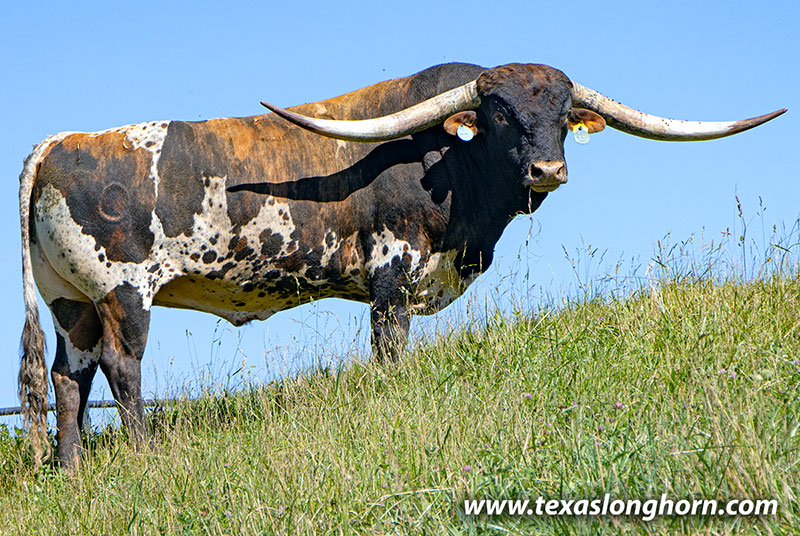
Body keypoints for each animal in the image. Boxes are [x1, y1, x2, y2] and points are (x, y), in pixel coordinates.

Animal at [18, 62, 784, 471]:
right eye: (499, 113)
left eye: (564, 113)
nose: (549, 169)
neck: (450, 162)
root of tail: (59, 142)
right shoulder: (392, 270)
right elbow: (389, 353)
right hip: (124, 291)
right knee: (121, 367)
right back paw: (144, 456)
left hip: (70, 300)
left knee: (68, 376)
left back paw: (72, 470)